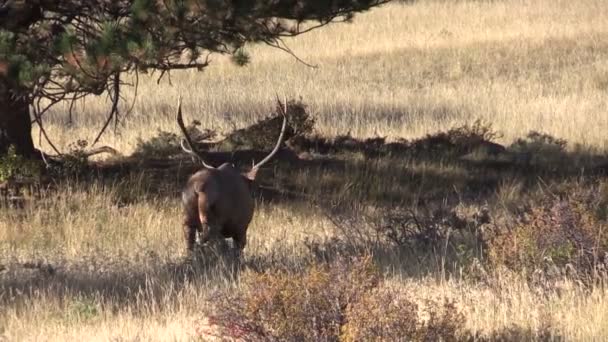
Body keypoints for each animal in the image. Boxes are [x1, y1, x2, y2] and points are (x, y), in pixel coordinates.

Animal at [176, 96, 288, 254]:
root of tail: (198, 189)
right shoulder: (241, 228)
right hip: (214, 219)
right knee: (209, 238)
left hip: (187, 218)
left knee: (190, 242)